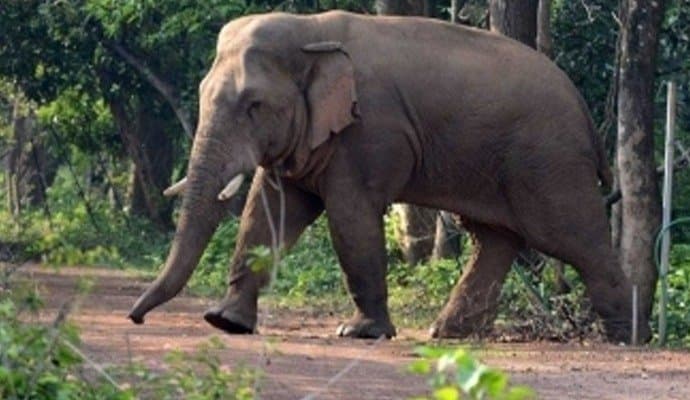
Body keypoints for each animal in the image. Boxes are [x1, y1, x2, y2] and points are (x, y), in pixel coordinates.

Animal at [128, 10, 648, 343]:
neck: (309, 30)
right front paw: (225, 322)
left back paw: (626, 338)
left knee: (570, 237)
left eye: (254, 105)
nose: (135, 319)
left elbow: (350, 217)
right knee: (495, 238)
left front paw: (360, 333)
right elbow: (269, 211)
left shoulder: (369, 132)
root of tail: (582, 108)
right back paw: (448, 333)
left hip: (548, 161)